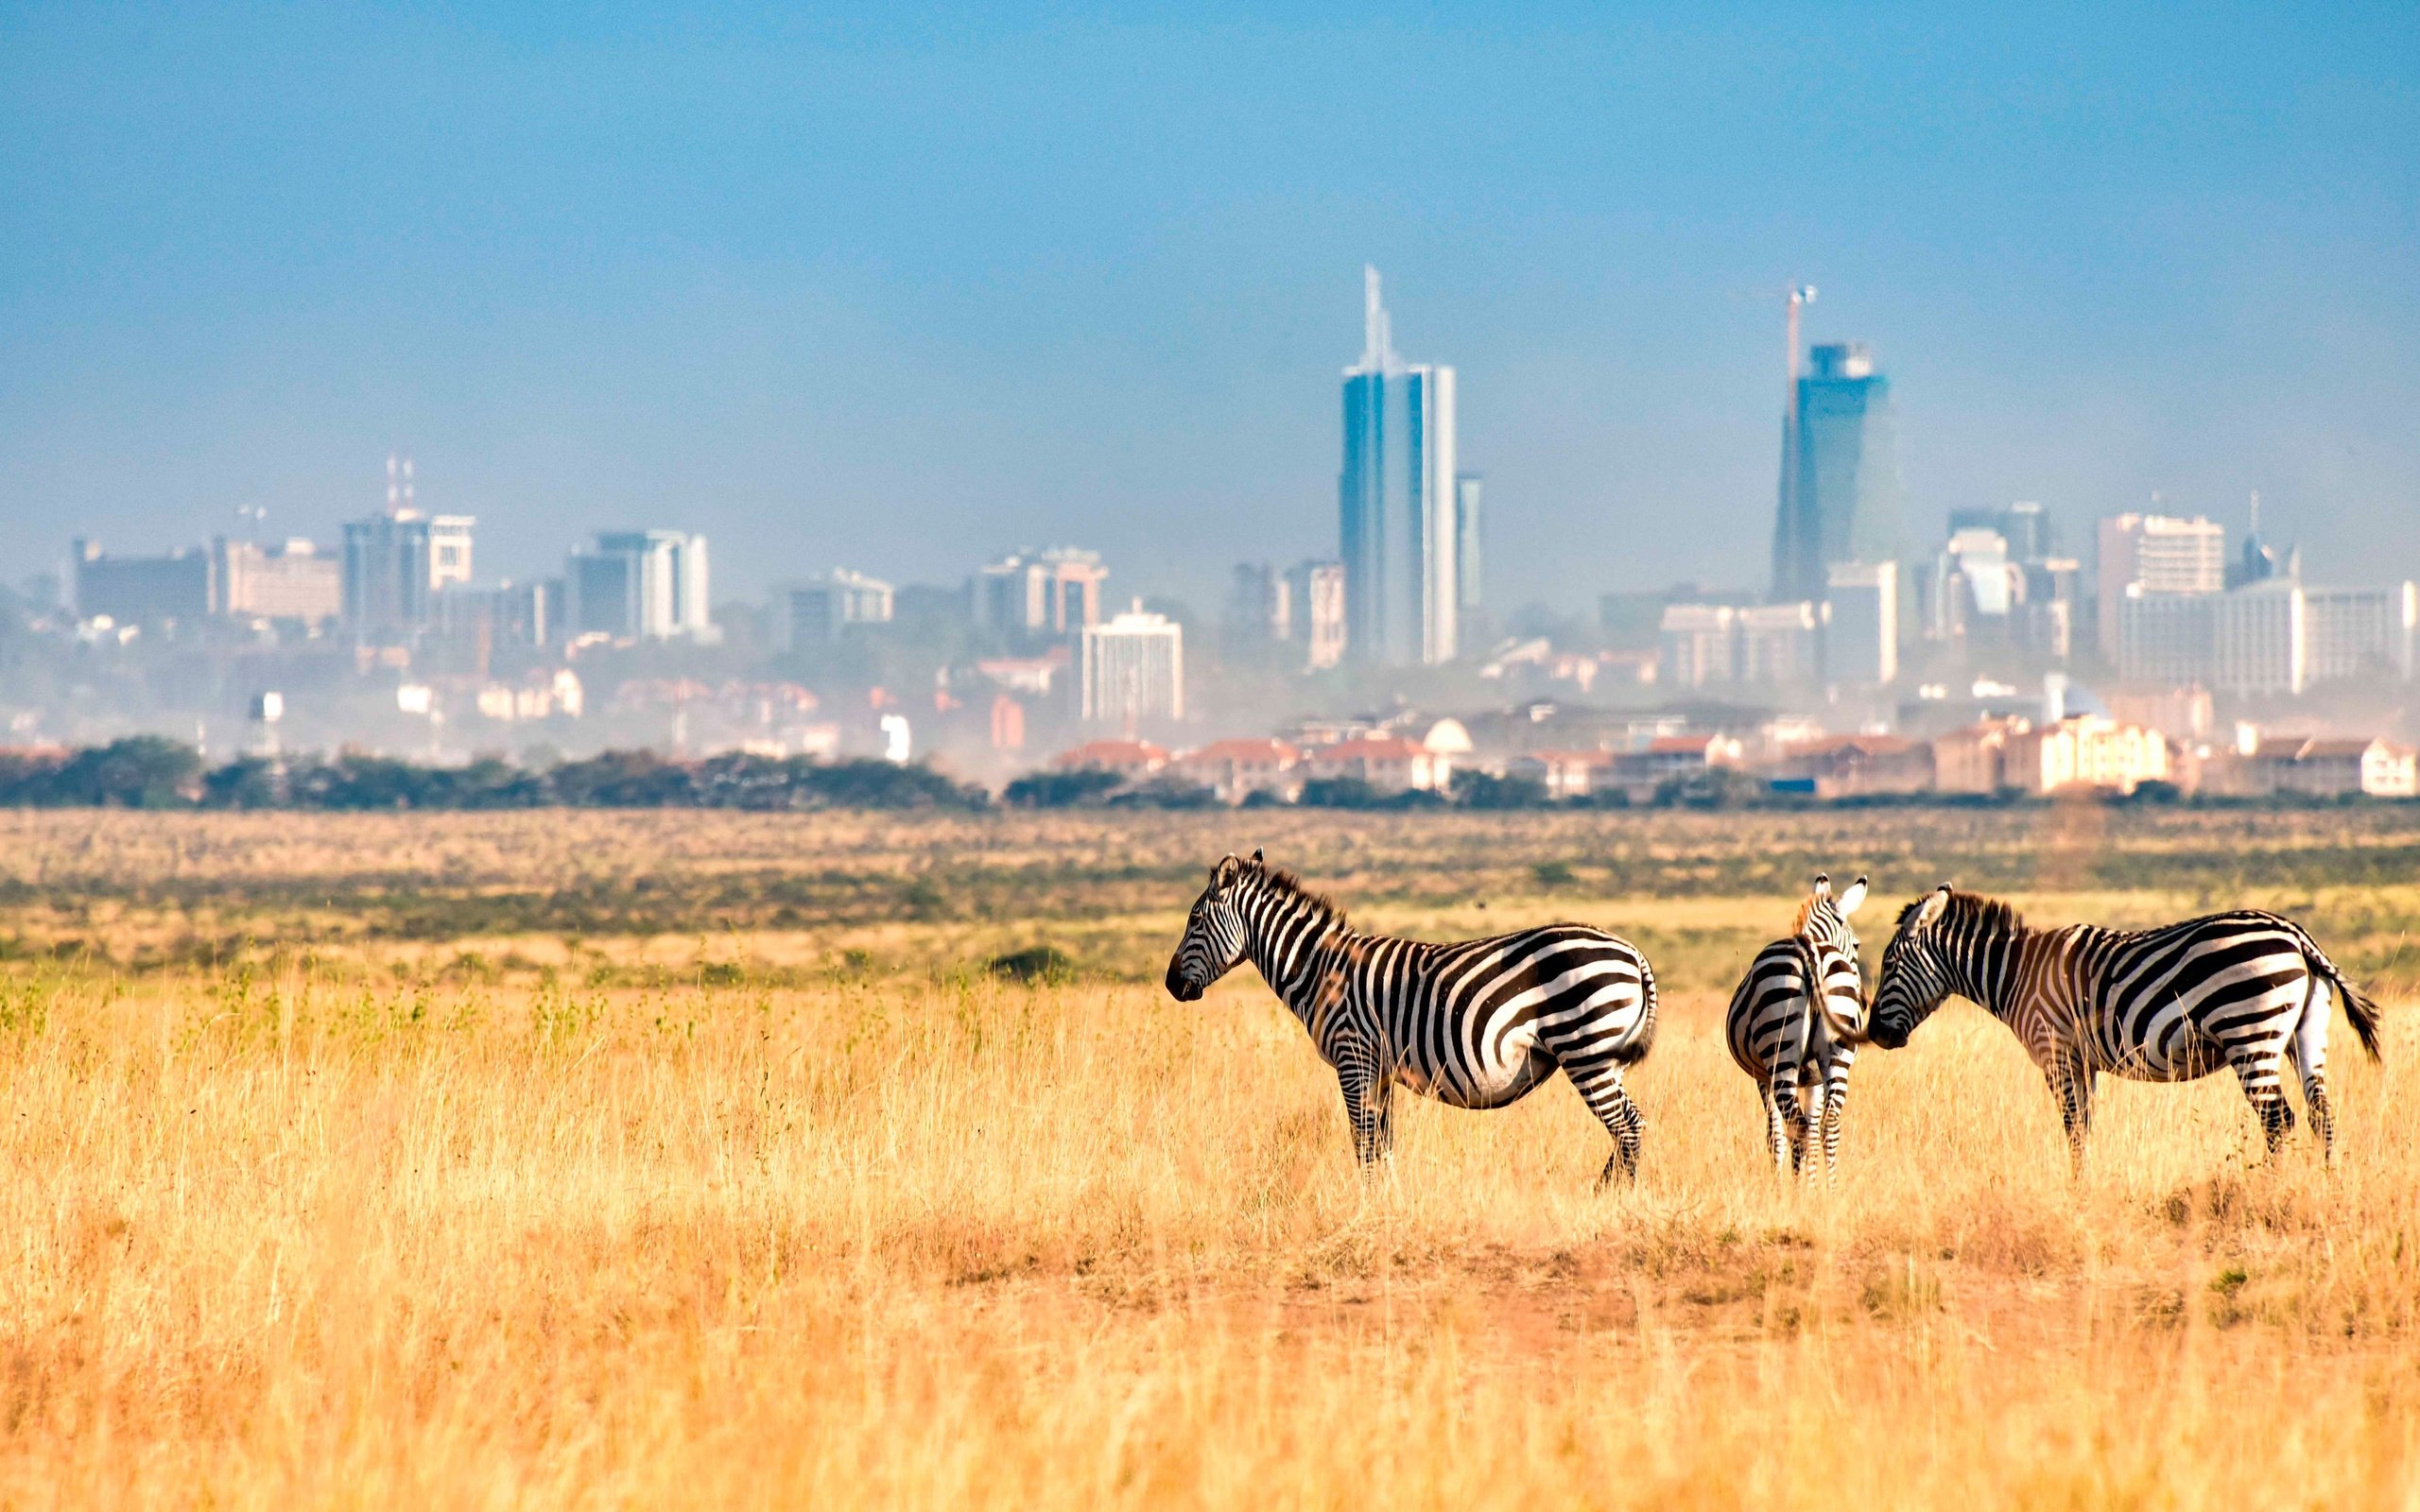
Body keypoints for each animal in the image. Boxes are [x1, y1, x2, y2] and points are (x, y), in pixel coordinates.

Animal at [1161, 851, 1655, 1180]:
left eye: (1195, 920)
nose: (1169, 985)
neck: (1320, 969)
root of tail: (1632, 952)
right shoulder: (1378, 1068)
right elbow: (1383, 1144)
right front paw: (1389, 1199)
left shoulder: (1353, 1057)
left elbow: (1362, 1141)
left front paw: (1367, 1204)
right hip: (1603, 1057)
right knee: (1632, 1125)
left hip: (1585, 1049)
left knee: (1628, 1127)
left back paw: (1608, 1198)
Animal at [1722, 870, 1868, 1180]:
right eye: (1857, 944)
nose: (1863, 1000)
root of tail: (1811, 950)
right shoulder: (1815, 1078)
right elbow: (1811, 1130)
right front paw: (1808, 1181)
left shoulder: (1763, 1078)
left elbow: (1776, 1135)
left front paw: (1781, 1183)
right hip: (1836, 1057)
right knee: (1828, 1125)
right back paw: (1831, 1188)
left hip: (1780, 1054)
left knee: (1797, 1126)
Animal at [1868, 880, 2381, 1160]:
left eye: (1889, 965)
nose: (1874, 1034)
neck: (2017, 974)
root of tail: (2297, 937)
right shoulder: (2083, 1062)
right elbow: (2085, 1127)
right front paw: (2086, 1186)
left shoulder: (2055, 1052)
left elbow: (2072, 1128)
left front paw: (2076, 1195)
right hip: (2304, 1035)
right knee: (2321, 1114)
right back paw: (2328, 1191)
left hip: (2249, 1034)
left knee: (2278, 1120)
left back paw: (2268, 1194)